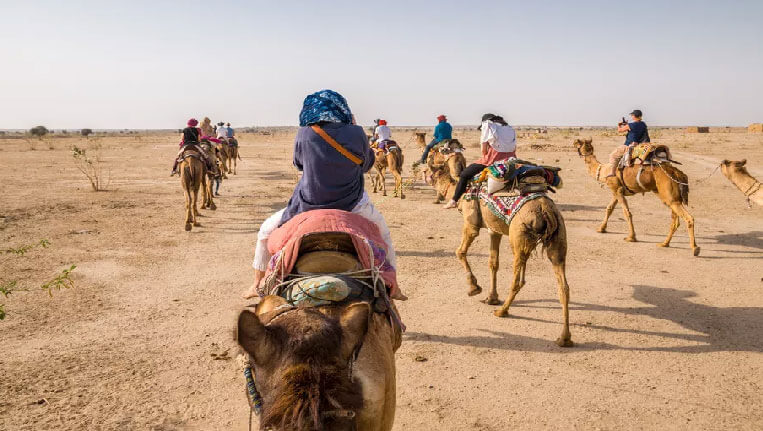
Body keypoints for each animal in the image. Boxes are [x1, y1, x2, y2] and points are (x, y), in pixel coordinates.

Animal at [430, 159, 572, 348]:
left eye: (430, 171)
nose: (425, 174)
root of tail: (545, 211)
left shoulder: (471, 224)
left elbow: (459, 252)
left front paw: (474, 287)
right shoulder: (494, 231)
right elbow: (493, 263)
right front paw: (491, 298)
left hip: (518, 238)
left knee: (518, 280)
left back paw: (502, 311)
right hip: (558, 240)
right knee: (563, 287)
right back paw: (564, 338)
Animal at [572, 138, 700, 256]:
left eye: (578, 143)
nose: (573, 143)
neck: (603, 170)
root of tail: (677, 172)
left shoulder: (616, 189)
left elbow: (626, 213)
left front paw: (631, 237)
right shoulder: (617, 191)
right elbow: (609, 208)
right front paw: (601, 229)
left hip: (670, 197)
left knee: (688, 218)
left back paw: (695, 248)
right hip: (671, 197)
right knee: (675, 220)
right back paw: (664, 243)